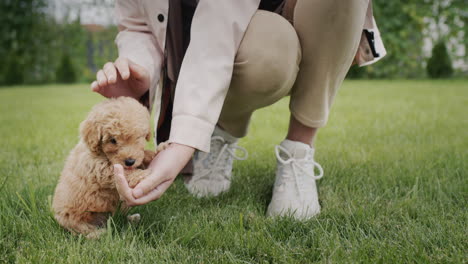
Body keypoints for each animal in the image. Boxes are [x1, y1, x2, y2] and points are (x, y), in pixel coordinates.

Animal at [51, 97, 164, 237]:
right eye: (113, 140)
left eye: (138, 137)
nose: (130, 161)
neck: (101, 153)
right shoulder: (98, 168)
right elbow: (121, 172)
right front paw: (140, 175)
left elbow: (143, 156)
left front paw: (157, 151)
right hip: (71, 219)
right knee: (82, 230)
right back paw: (99, 233)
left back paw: (132, 219)